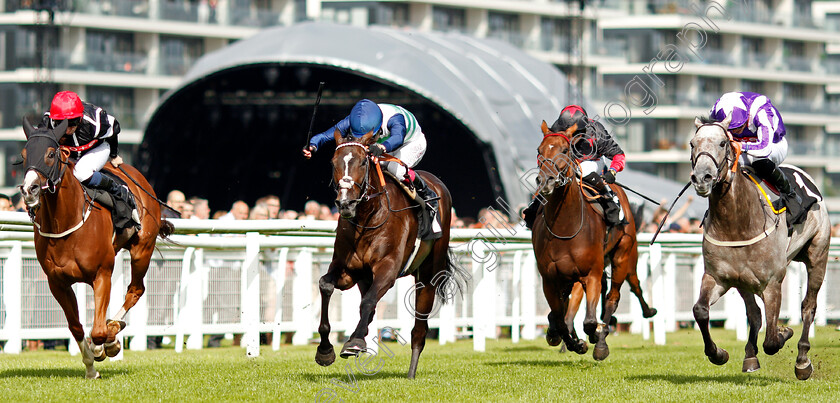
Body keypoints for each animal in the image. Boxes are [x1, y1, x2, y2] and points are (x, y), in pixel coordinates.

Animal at [19, 117, 172, 378]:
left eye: (50, 154)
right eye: (24, 153)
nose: (30, 190)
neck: (66, 221)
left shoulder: (102, 274)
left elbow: (98, 330)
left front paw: (106, 344)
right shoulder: (57, 282)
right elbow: (76, 327)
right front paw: (90, 367)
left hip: (142, 249)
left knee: (135, 289)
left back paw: (113, 331)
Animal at [316, 130, 472, 378]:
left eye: (363, 162)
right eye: (334, 162)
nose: (345, 203)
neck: (367, 218)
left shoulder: (388, 268)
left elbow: (369, 301)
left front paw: (355, 342)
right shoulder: (348, 270)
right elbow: (326, 285)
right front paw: (324, 350)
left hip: (428, 276)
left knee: (419, 330)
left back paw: (411, 373)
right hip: (366, 278)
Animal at [536, 121, 640, 362]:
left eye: (565, 150)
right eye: (539, 150)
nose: (546, 181)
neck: (565, 227)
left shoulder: (591, 273)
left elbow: (590, 321)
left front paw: (595, 339)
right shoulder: (550, 279)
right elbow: (560, 319)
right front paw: (572, 342)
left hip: (622, 255)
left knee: (612, 297)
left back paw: (601, 337)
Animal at [684, 115, 832, 380]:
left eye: (723, 143)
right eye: (692, 143)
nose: (702, 178)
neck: (736, 223)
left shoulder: (772, 283)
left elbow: (772, 341)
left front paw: (785, 332)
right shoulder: (717, 277)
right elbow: (700, 310)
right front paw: (718, 353)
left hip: (818, 254)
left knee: (808, 306)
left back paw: (802, 361)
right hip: (743, 281)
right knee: (754, 314)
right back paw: (750, 356)